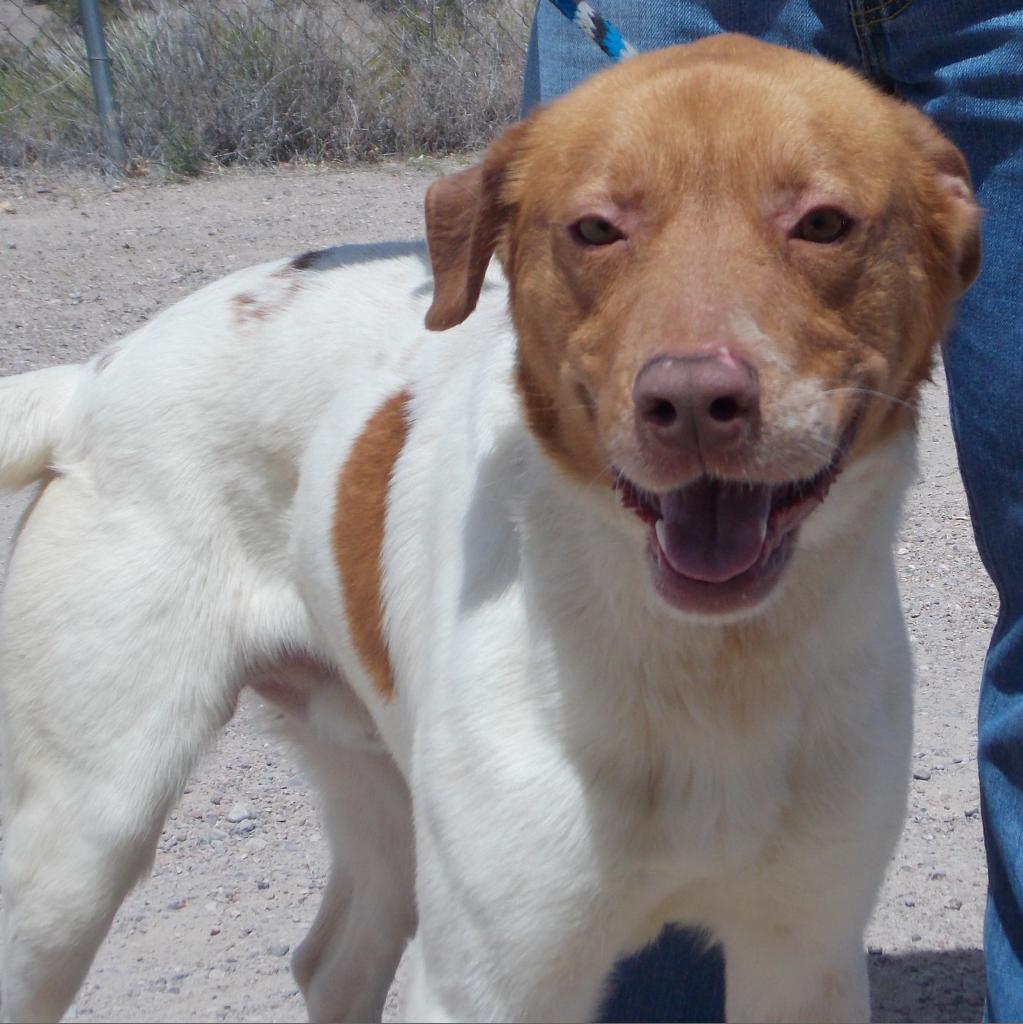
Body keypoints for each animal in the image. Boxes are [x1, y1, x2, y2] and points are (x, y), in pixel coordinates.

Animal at [0, 34, 978, 1024]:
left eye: (822, 223)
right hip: (83, 841)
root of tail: (95, 375)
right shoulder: (491, 978)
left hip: (370, 767)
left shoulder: (804, 952)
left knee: (331, 959)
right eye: (595, 229)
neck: (710, 671)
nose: (695, 402)